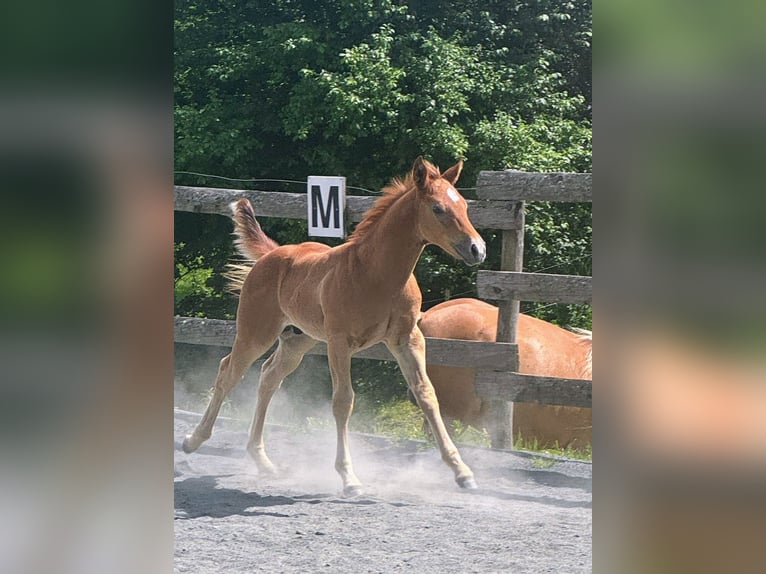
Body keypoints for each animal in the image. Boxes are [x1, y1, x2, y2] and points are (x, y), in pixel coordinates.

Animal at [182, 157, 487, 495]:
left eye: (464, 206)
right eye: (437, 208)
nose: (477, 249)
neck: (376, 274)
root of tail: (271, 254)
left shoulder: (407, 339)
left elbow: (427, 395)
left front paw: (462, 472)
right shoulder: (340, 343)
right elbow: (343, 401)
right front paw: (349, 478)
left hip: (297, 341)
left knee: (269, 378)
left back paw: (263, 461)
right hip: (255, 333)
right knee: (228, 373)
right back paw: (193, 440)